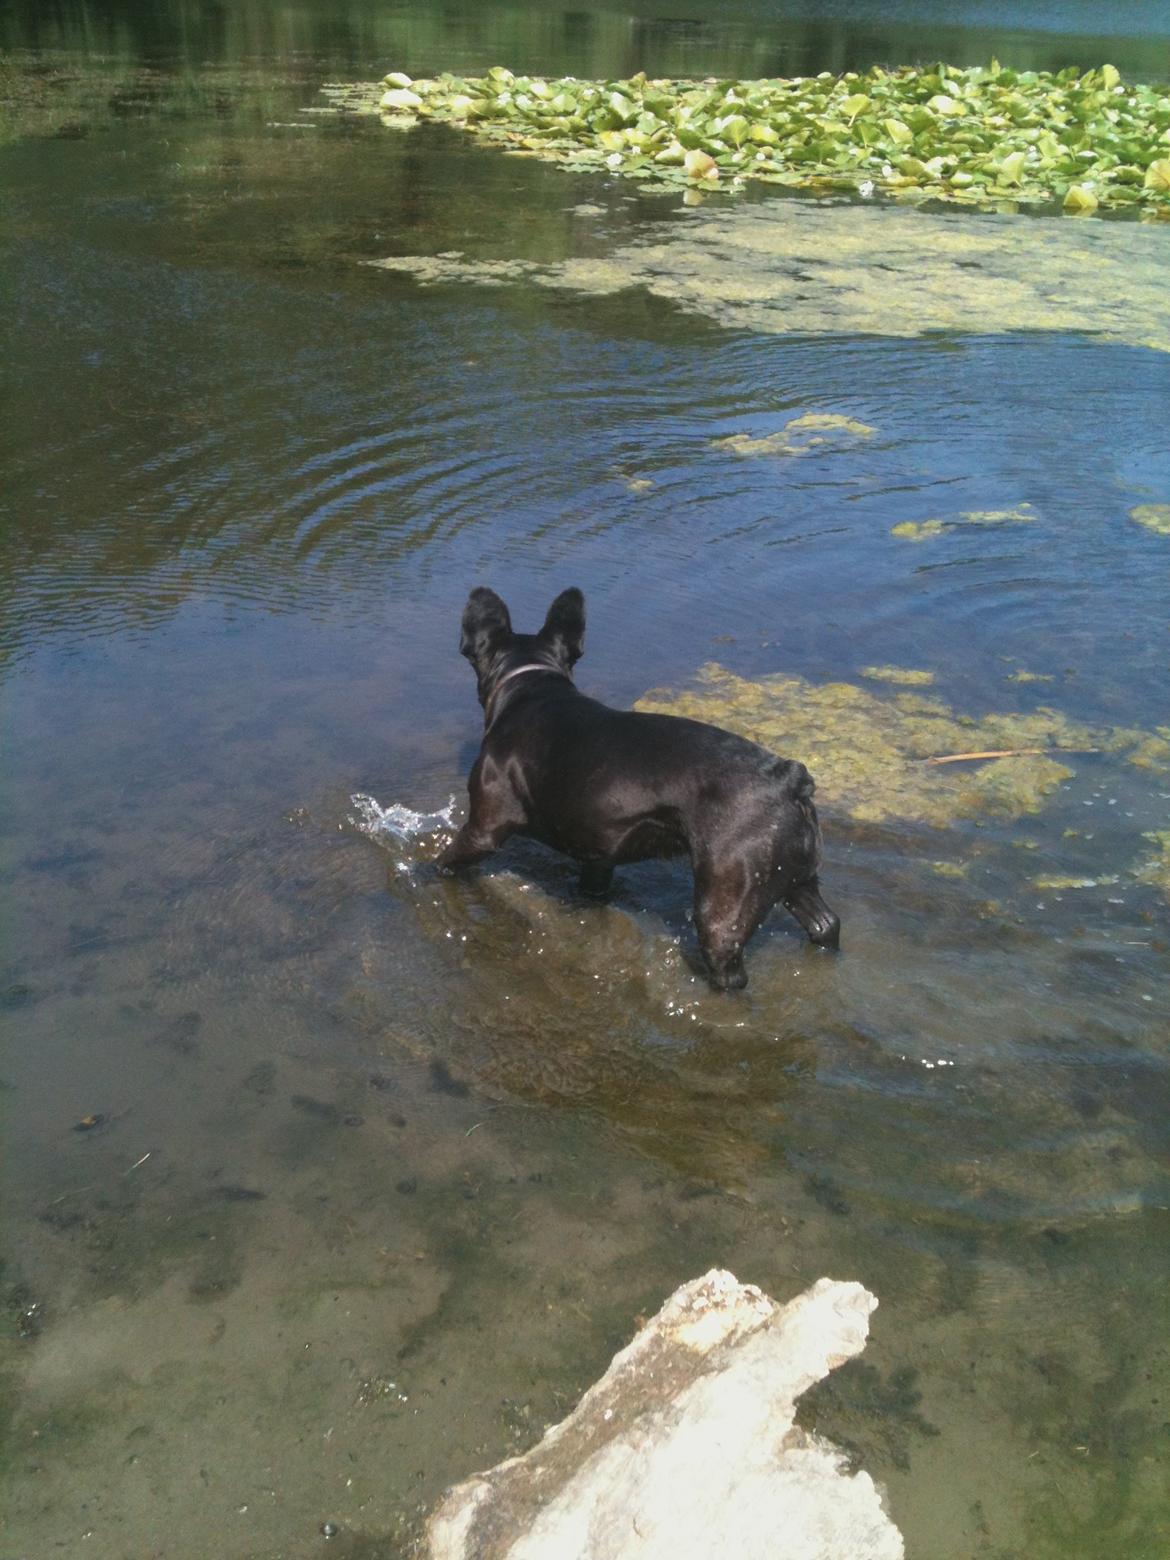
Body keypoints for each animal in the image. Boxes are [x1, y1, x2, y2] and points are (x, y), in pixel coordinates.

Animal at [436, 586, 836, 985]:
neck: (531, 684)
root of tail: (787, 779)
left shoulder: (483, 831)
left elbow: (444, 862)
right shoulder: (598, 856)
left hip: (724, 906)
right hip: (796, 879)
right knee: (825, 924)